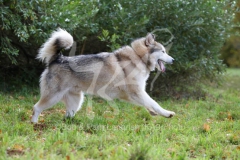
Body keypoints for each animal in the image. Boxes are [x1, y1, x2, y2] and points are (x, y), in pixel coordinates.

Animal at [31, 28, 175, 123]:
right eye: (163, 51)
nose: (173, 60)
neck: (138, 57)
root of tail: (58, 59)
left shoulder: (132, 95)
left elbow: (149, 103)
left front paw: (153, 112)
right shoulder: (136, 92)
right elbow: (154, 102)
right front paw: (167, 113)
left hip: (76, 102)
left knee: (67, 116)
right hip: (53, 97)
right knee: (36, 108)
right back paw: (34, 124)